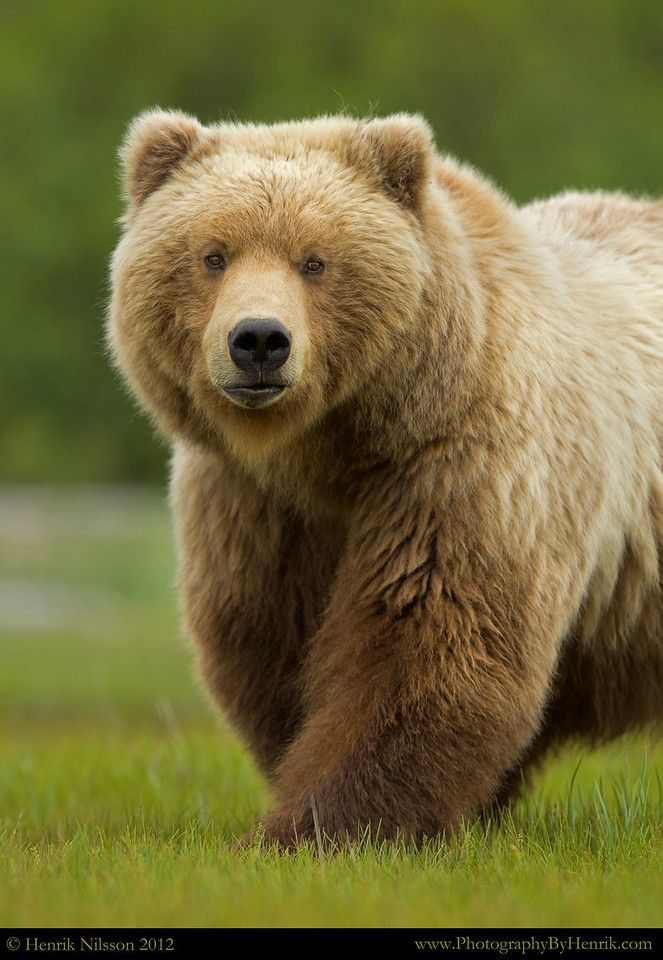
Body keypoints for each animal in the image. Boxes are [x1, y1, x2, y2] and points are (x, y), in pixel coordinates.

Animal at [107, 110, 663, 848]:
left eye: (314, 260)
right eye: (213, 255)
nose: (259, 341)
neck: (329, 453)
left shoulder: (455, 465)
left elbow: (424, 639)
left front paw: (315, 828)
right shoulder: (253, 505)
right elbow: (273, 648)